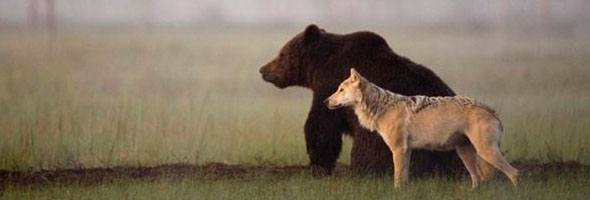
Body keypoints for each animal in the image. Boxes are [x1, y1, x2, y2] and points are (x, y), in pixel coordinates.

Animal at [262, 24, 464, 176]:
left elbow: (321, 126)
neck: (319, 66)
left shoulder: (329, 86)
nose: (263, 69)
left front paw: (318, 166)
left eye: (281, 54)